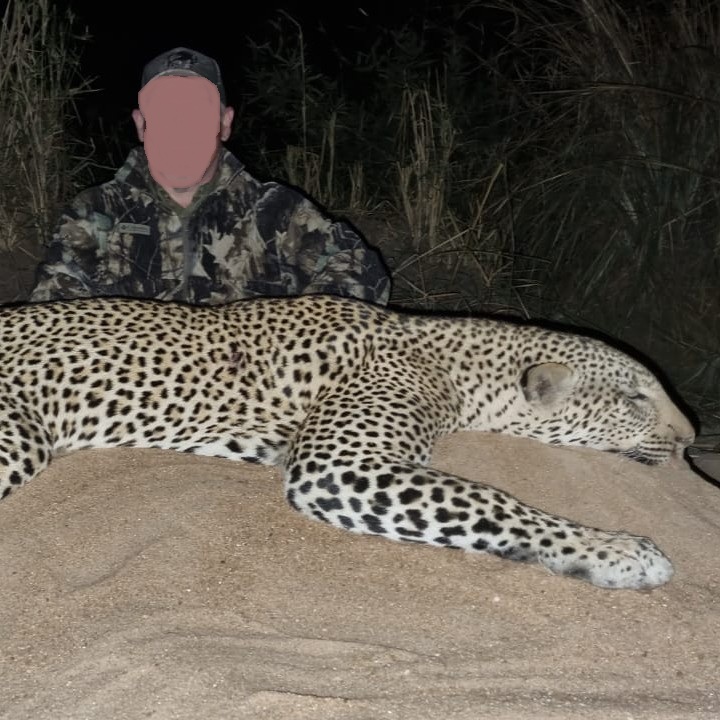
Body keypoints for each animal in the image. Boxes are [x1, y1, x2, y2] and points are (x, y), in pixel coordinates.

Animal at [0, 293, 695, 590]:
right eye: (636, 398)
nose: (693, 438)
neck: (454, 365)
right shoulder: (336, 463)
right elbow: (493, 502)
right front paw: (615, 551)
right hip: (19, 440)